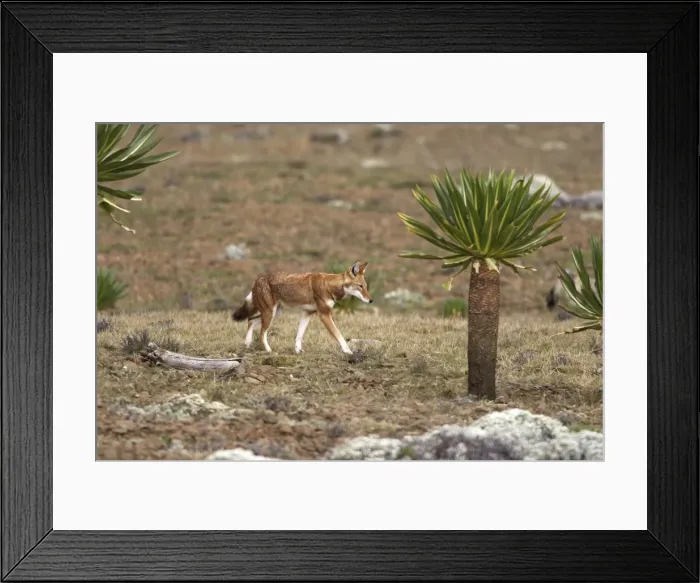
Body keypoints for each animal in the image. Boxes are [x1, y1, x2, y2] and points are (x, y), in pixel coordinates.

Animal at [232, 261, 373, 355]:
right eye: (360, 286)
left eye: (366, 286)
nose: (371, 300)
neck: (329, 285)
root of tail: (257, 279)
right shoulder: (324, 315)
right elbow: (339, 334)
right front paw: (348, 351)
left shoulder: (307, 313)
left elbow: (299, 335)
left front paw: (298, 351)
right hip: (270, 314)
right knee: (261, 333)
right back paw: (269, 351)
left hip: (274, 313)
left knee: (250, 320)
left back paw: (247, 343)